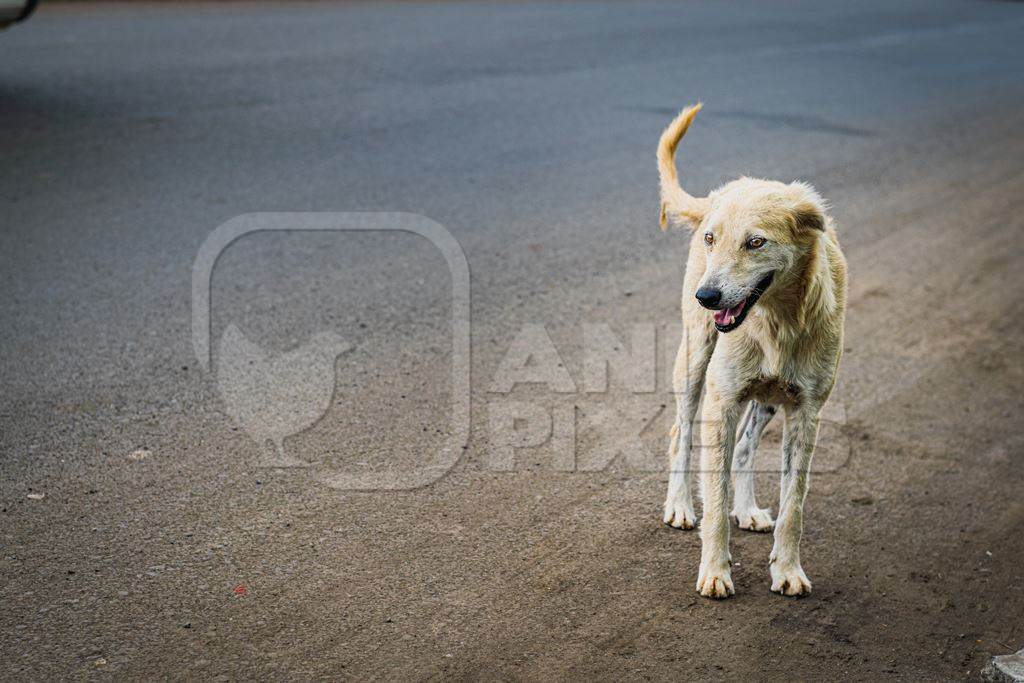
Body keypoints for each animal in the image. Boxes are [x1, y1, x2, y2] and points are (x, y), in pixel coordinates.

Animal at [659, 102, 843, 598]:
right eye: (711, 239)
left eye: (756, 242)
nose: (707, 297)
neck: (775, 321)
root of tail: (729, 186)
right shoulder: (721, 403)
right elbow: (715, 502)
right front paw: (715, 572)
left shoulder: (806, 414)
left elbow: (794, 507)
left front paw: (787, 570)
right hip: (694, 366)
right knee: (681, 433)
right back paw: (680, 505)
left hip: (768, 399)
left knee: (745, 445)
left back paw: (747, 508)